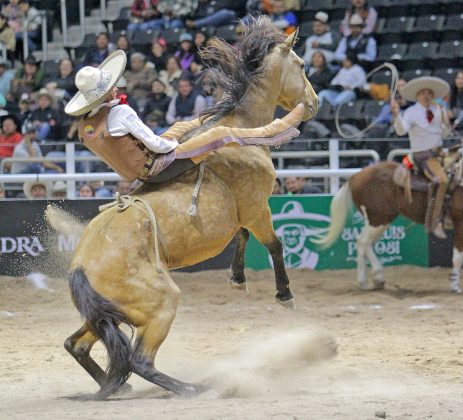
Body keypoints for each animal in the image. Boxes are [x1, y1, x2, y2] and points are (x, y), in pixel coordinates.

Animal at [61, 18, 320, 400]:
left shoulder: (242, 215)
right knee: (140, 360)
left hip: (104, 315)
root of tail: (80, 265)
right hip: (161, 302)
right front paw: (284, 294)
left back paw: (120, 387)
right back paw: (195, 388)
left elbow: (242, 237)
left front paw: (237, 278)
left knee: (77, 345)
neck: (243, 129)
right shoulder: (257, 207)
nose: (314, 102)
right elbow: (274, 244)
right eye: (301, 65)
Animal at [318, 150, 463, 292]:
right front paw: (455, 286)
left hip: (379, 220)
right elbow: (457, 257)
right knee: (363, 242)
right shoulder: (460, 223)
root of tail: (356, 176)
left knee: (365, 243)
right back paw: (371, 278)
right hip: (378, 219)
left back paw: (370, 280)